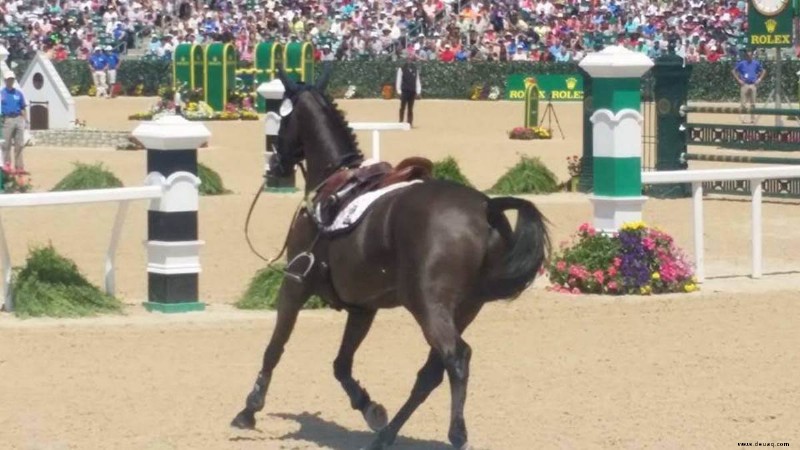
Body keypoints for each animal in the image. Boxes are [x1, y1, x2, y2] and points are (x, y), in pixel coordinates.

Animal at [231, 67, 552, 450]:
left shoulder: (295, 284)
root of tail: (485, 208)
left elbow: (275, 347)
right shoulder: (361, 307)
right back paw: (385, 434)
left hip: (428, 306)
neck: (333, 181)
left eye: (281, 120)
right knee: (430, 372)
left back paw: (456, 435)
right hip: (464, 309)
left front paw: (249, 409)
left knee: (455, 358)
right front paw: (370, 408)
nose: (275, 166)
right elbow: (341, 364)